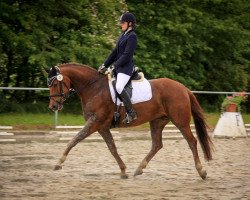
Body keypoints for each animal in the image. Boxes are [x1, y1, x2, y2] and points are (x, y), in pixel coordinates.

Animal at [47, 63, 213, 180]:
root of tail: (183, 88)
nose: (53, 106)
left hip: (180, 121)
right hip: (157, 121)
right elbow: (112, 148)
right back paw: (139, 169)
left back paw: (202, 171)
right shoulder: (102, 127)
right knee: (157, 145)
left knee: (192, 141)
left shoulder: (94, 123)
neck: (94, 88)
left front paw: (58, 163)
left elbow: (74, 140)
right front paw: (123, 171)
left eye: (55, 84)